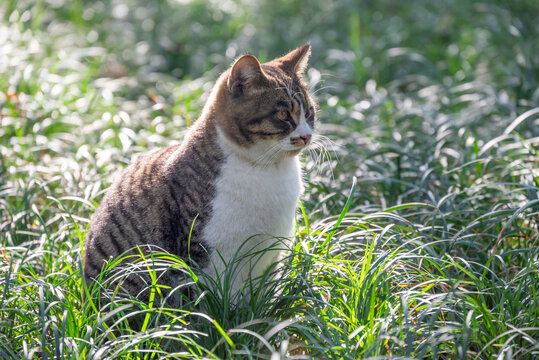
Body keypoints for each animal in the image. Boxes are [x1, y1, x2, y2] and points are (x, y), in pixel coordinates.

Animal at [84, 43, 316, 306]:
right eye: (283, 115)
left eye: (310, 112)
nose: (307, 135)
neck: (269, 170)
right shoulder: (204, 253)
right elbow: (208, 302)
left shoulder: (272, 253)